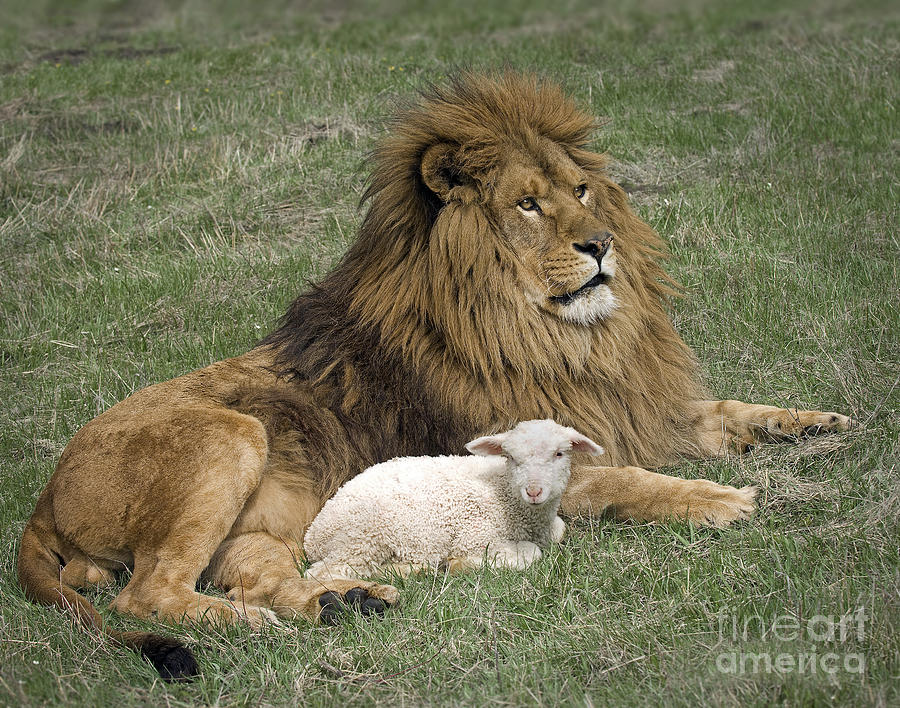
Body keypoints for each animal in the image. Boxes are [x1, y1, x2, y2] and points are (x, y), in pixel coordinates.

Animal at [302, 418, 604, 580]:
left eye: (559, 454)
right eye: (511, 457)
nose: (533, 491)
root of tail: (312, 536)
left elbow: (560, 530)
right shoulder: (475, 537)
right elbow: (532, 553)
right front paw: (460, 564)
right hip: (361, 537)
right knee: (324, 574)